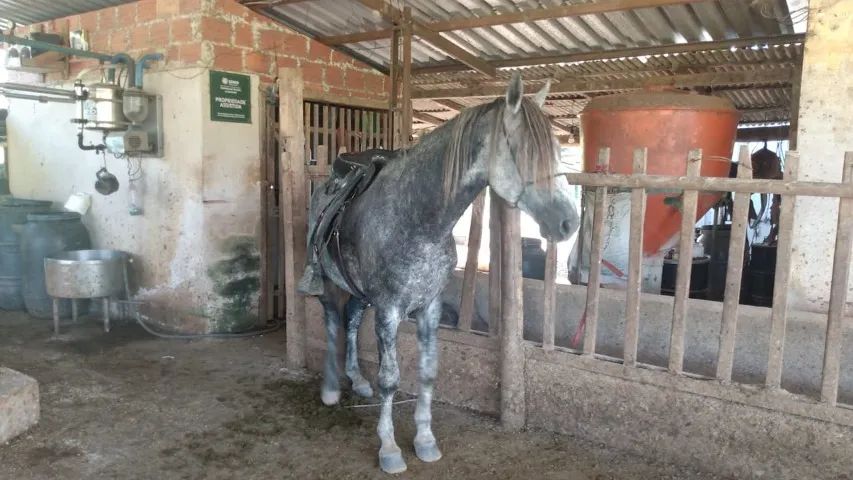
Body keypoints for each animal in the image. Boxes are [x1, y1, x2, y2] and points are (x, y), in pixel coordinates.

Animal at [299, 74, 580, 474]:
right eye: (523, 152)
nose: (568, 222)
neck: (417, 219)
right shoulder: (388, 311)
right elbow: (390, 379)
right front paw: (389, 449)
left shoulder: (428, 308)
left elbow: (428, 373)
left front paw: (425, 440)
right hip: (326, 282)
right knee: (332, 320)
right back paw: (332, 388)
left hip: (361, 292)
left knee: (351, 318)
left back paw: (357, 379)